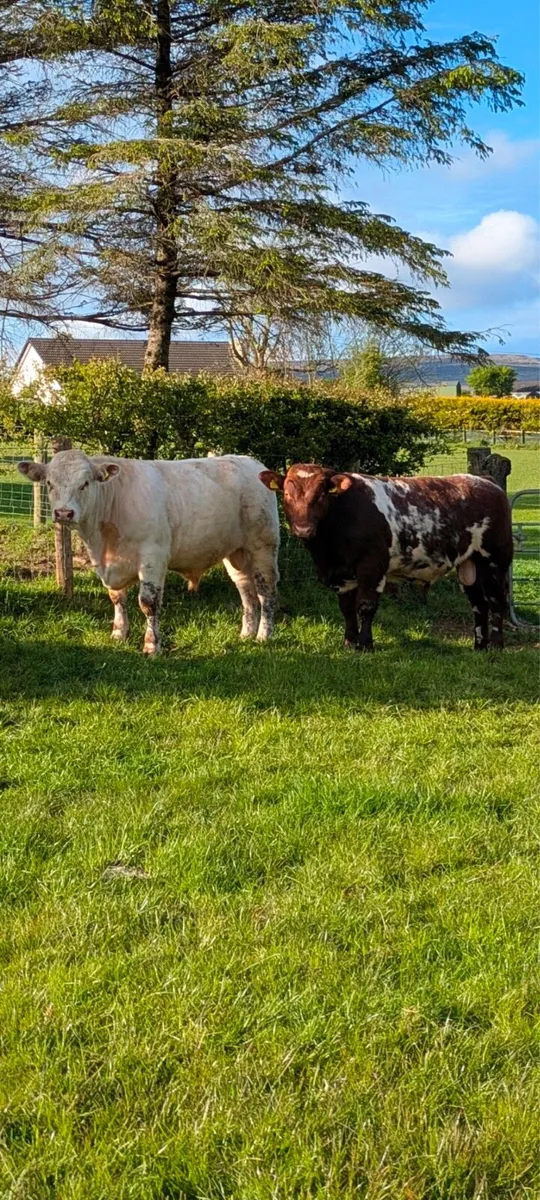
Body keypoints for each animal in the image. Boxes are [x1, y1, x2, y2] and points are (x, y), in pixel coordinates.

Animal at [18, 450, 280, 654]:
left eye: (85, 483)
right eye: (49, 483)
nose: (63, 513)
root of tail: (251, 462)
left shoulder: (153, 557)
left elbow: (148, 603)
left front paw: (152, 645)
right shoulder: (109, 564)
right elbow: (117, 597)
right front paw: (118, 634)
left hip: (263, 546)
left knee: (265, 591)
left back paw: (263, 635)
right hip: (235, 553)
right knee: (246, 590)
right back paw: (246, 634)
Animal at [260, 464, 513, 652]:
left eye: (321, 495)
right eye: (287, 494)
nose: (303, 529)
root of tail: (485, 481)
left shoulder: (372, 566)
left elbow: (365, 606)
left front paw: (365, 645)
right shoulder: (342, 574)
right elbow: (347, 609)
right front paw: (349, 642)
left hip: (495, 559)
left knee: (495, 601)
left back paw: (496, 645)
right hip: (469, 565)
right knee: (479, 604)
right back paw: (479, 646)